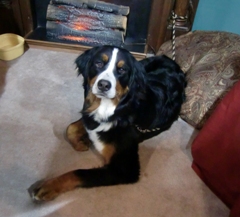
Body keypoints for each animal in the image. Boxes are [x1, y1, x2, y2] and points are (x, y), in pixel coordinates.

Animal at [31, 45, 187, 201]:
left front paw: (49, 186)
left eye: (122, 70)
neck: (112, 108)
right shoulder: (90, 117)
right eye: (99, 63)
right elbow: (70, 127)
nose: (104, 85)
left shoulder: (125, 168)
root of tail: (172, 61)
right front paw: (81, 143)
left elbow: (80, 172)